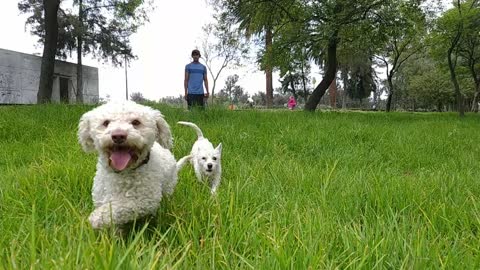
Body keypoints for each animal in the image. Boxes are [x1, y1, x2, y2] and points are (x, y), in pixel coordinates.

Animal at [78, 101, 177, 230]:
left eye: (136, 122)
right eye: (106, 123)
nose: (118, 135)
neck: (121, 173)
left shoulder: (145, 200)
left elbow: (118, 208)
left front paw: (94, 219)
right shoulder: (100, 197)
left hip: (168, 186)